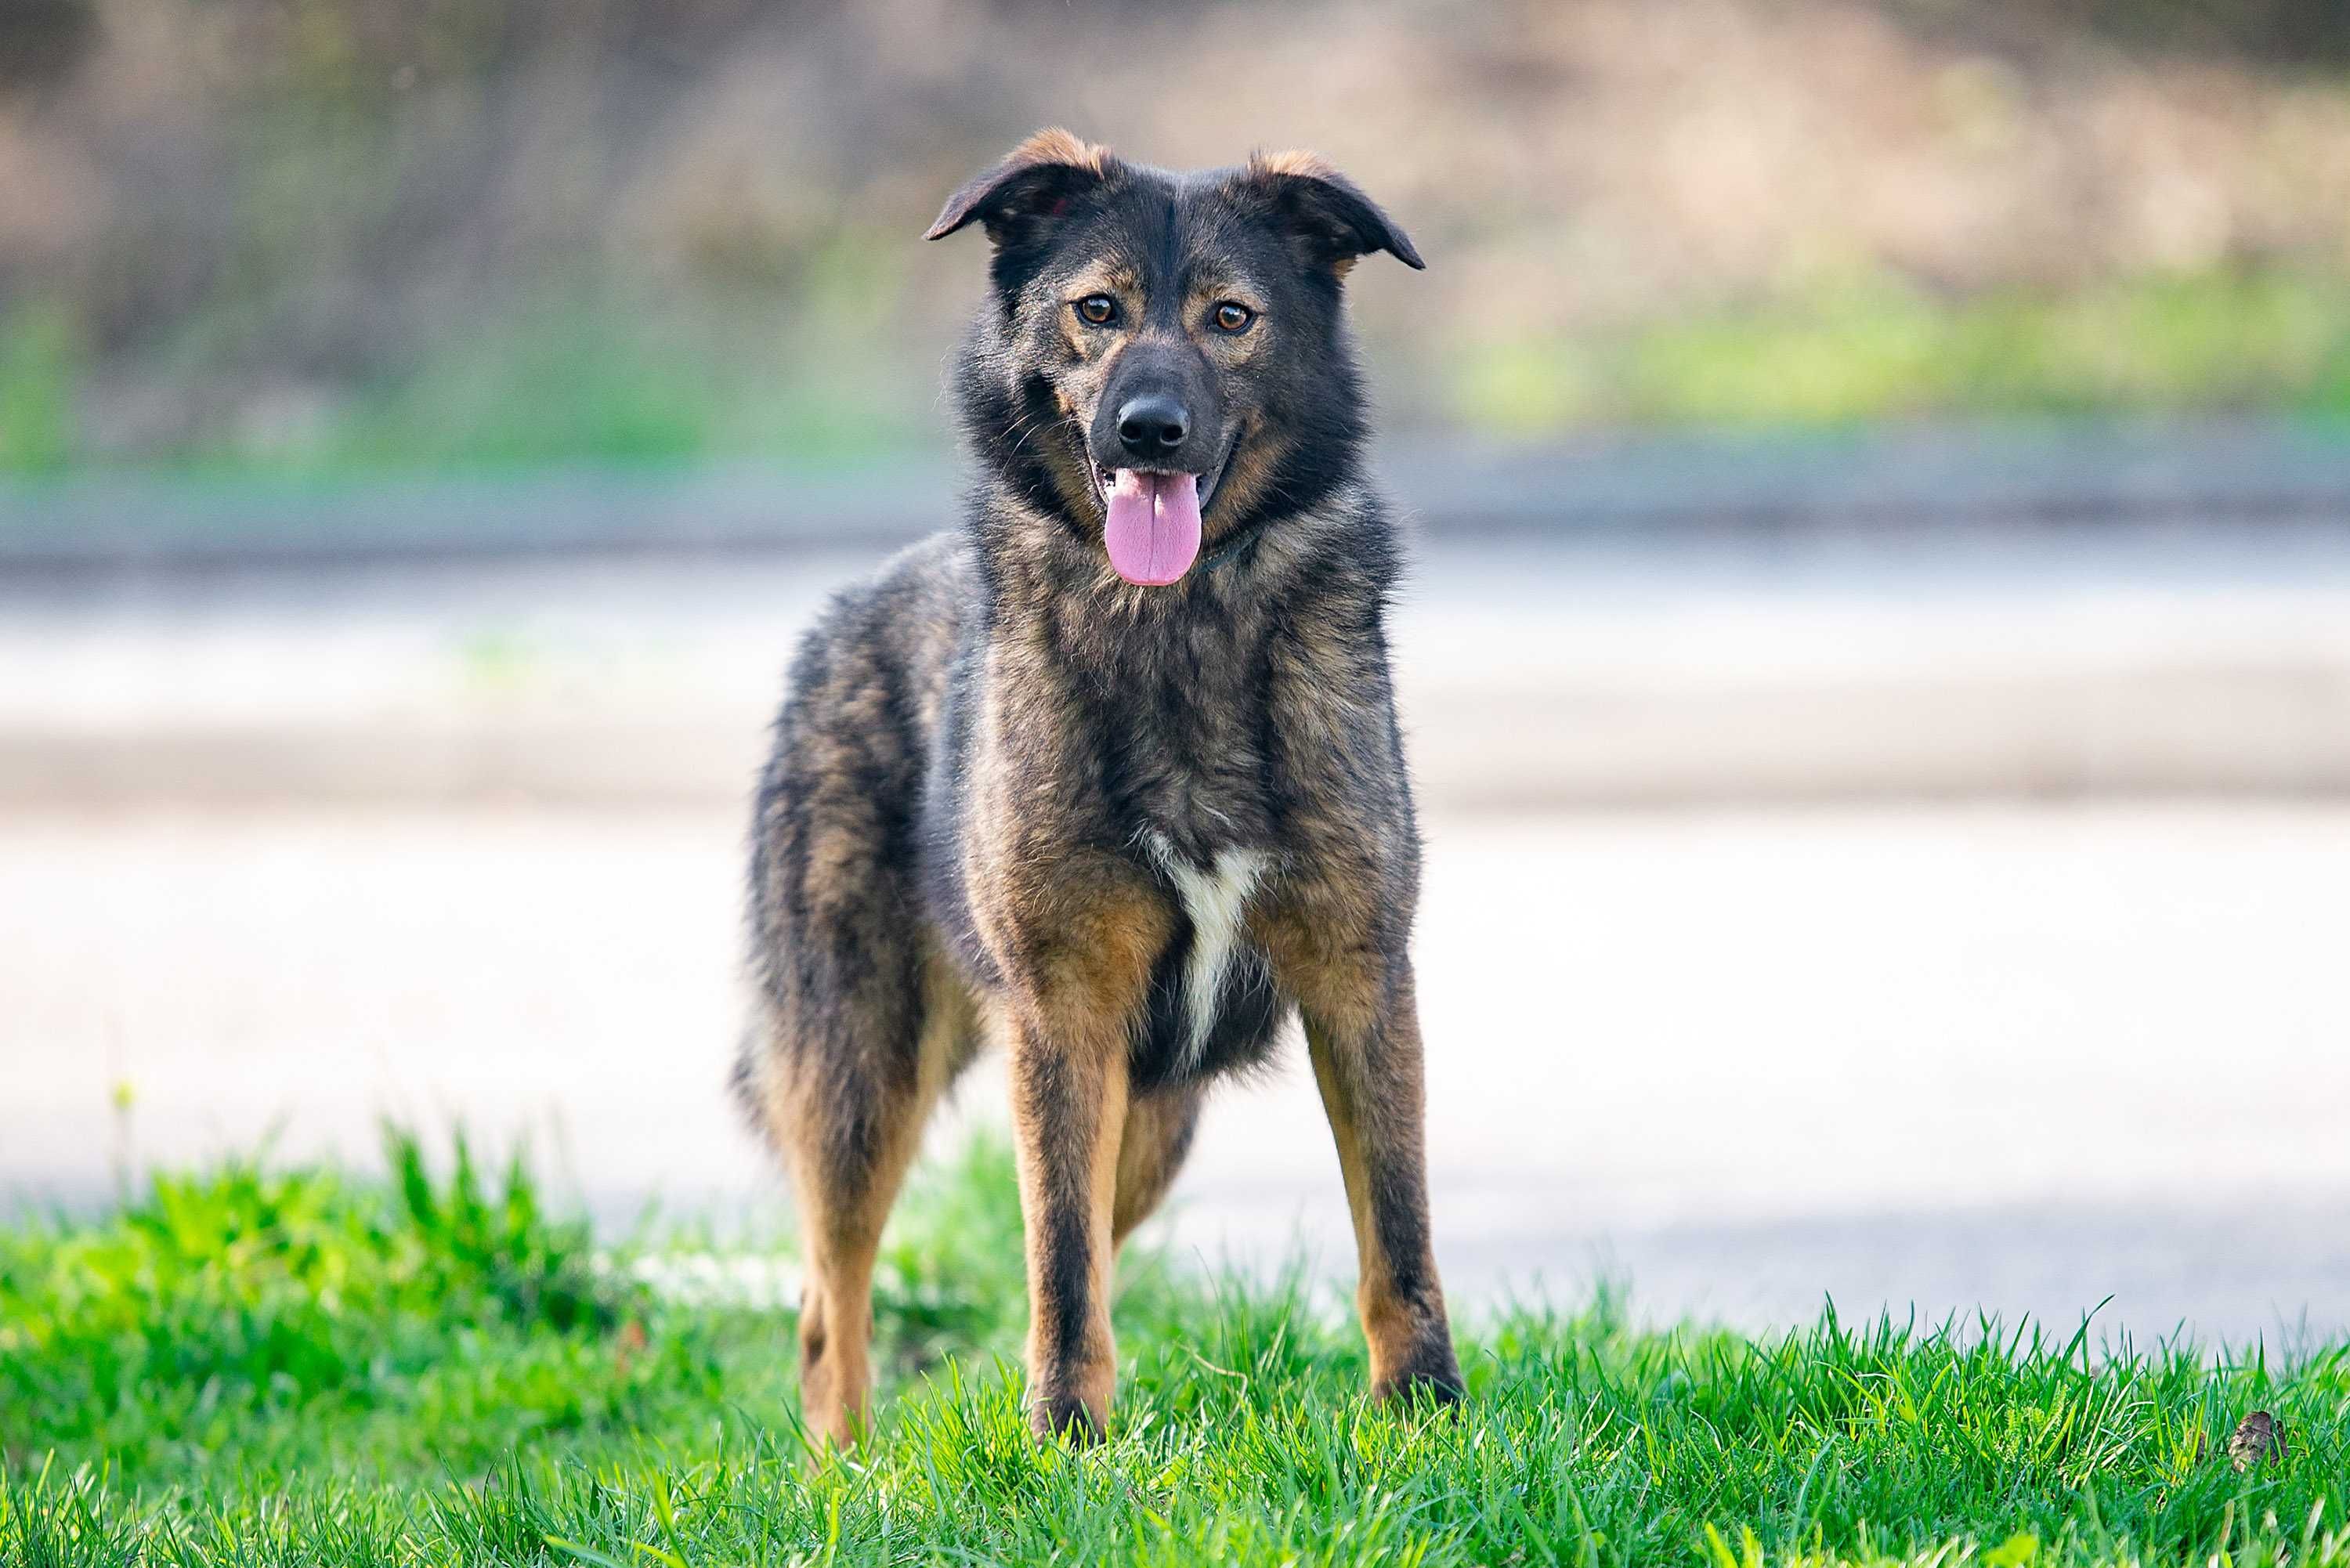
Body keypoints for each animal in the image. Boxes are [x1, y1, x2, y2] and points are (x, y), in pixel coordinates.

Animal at [743, 125, 1457, 1447]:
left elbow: (1399, 1235)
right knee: (833, 1303)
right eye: (1097, 311)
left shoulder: (1359, 977)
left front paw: (1426, 1419)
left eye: (1231, 316)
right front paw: (1066, 1444)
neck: (1180, 623)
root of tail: (851, 607)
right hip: (861, 1073)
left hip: (1151, 1116)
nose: (1149, 428)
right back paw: (846, 1472)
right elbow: (1061, 1266)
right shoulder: (1063, 1009)